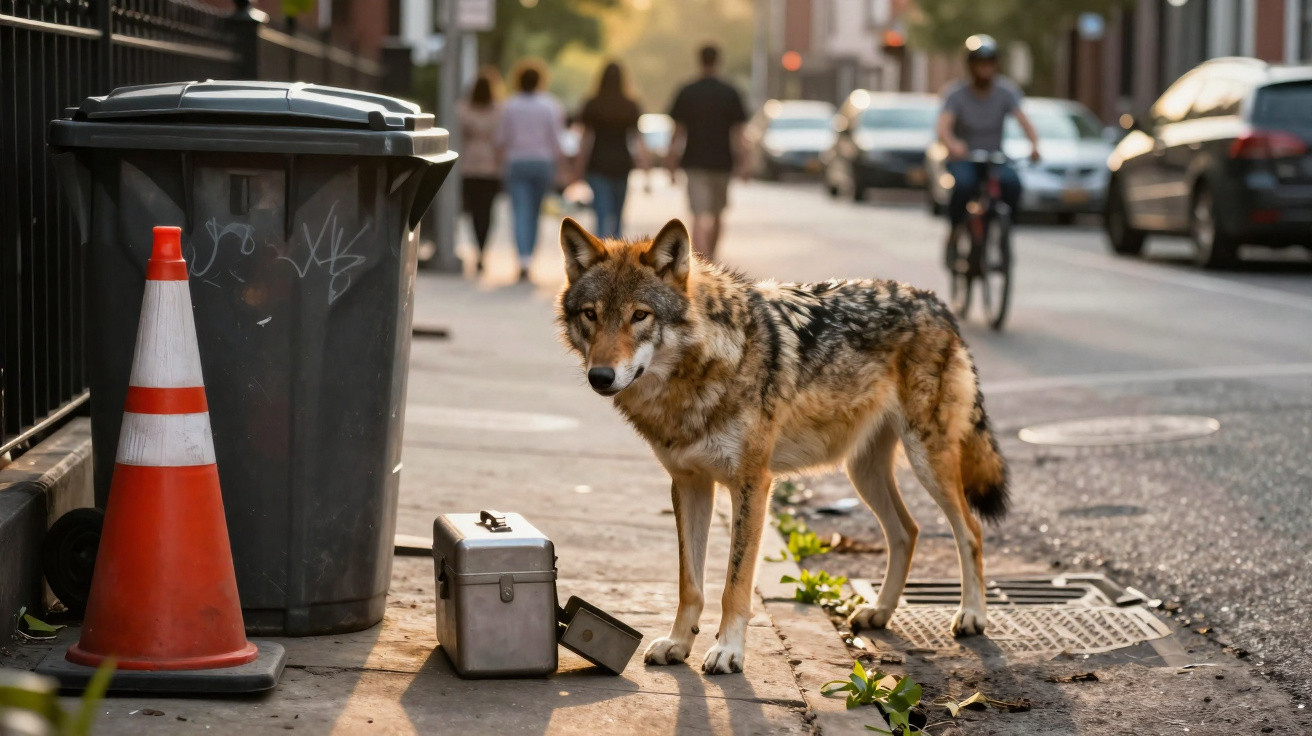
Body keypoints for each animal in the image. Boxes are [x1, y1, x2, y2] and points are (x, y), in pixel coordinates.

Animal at [556, 217, 1008, 675]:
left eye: (640, 316)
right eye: (592, 314)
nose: (600, 376)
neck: (702, 371)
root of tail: (936, 303)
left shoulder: (752, 484)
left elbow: (734, 584)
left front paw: (728, 651)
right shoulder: (689, 484)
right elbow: (690, 584)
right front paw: (679, 644)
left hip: (926, 461)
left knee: (969, 531)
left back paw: (972, 616)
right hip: (862, 472)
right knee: (907, 531)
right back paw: (878, 612)